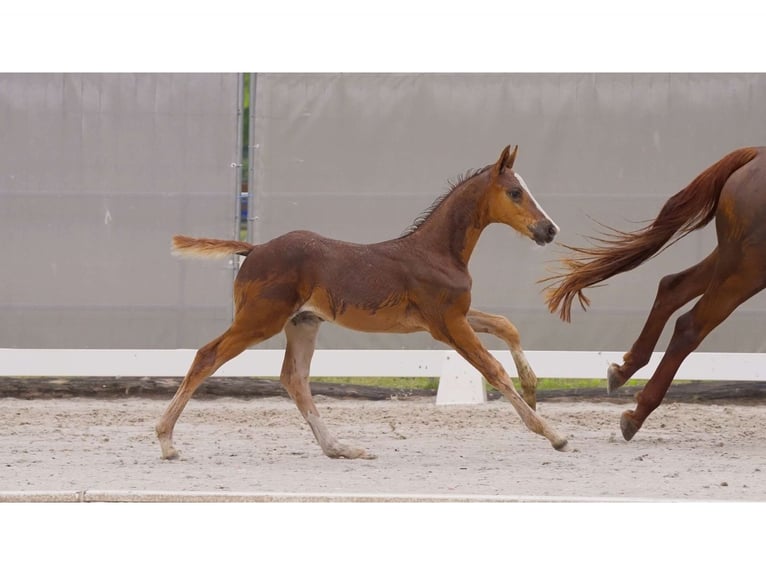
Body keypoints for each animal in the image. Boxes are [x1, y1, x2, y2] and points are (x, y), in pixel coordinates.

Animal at [154, 146, 568, 462]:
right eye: (514, 192)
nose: (549, 229)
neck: (437, 252)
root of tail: (253, 248)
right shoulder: (447, 324)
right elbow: (493, 369)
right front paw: (552, 433)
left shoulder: (455, 316)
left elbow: (506, 325)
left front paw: (533, 389)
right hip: (261, 319)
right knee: (208, 356)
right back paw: (166, 440)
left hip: (303, 323)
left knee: (294, 378)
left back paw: (340, 448)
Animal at [548, 147, 764, 440]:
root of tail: (756, 155)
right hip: (746, 268)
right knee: (689, 326)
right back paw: (637, 413)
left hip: (733, 258)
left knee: (672, 287)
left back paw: (624, 370)